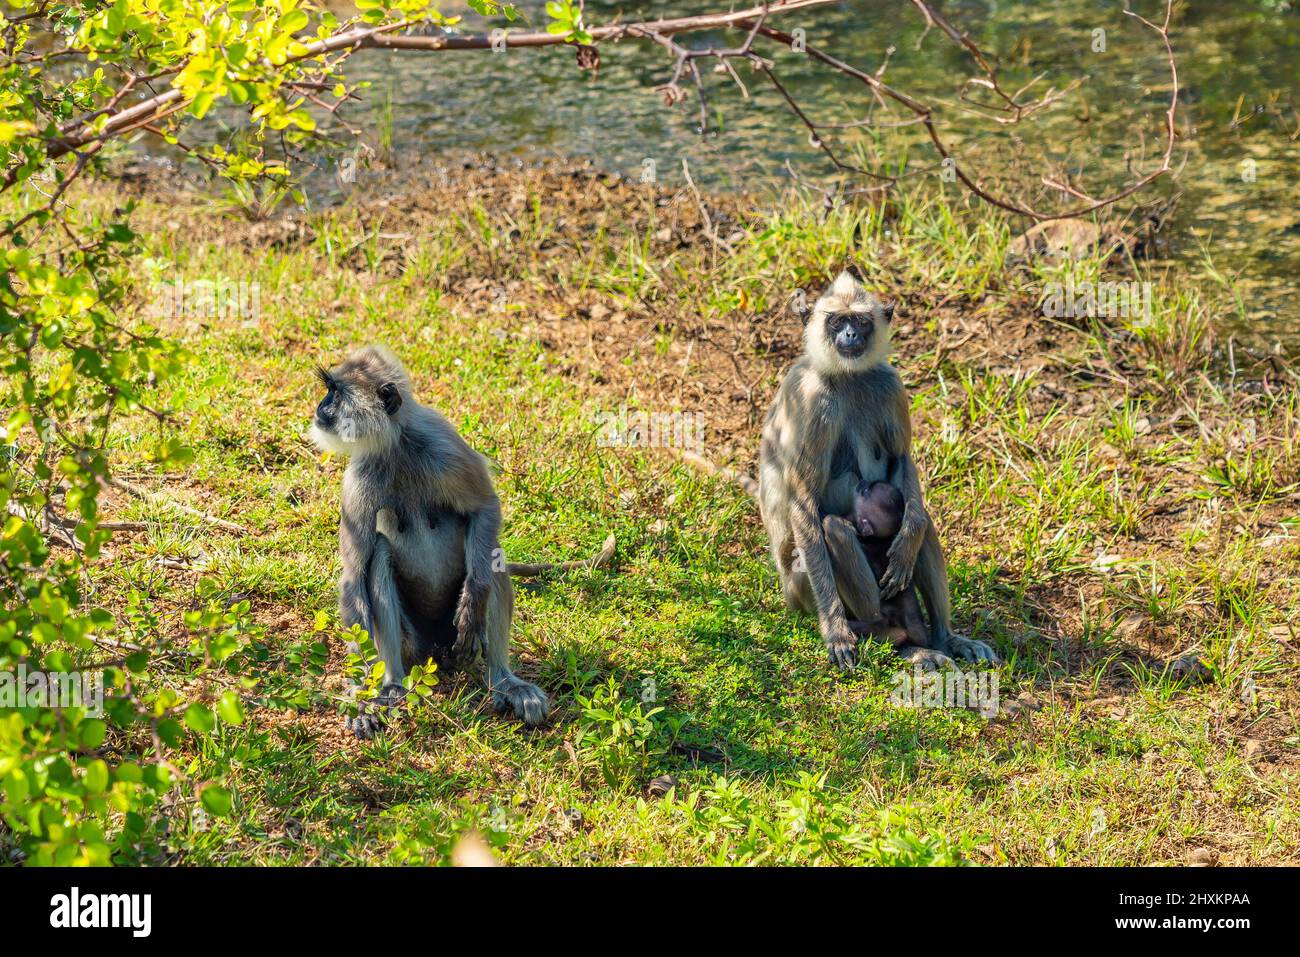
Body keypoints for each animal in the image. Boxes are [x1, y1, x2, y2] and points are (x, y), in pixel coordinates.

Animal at [309, 345, 548, 738]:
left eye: (336, 393)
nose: (320, 408)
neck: (396, 445)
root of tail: (437, 648)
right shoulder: (357, 479)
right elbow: (354, 578)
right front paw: (362, 698)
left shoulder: (442, 441)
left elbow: (485, 507)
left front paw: (473, 602)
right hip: (414, 642)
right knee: (380, 555)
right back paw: (392, 683)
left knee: (490, 558)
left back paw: (503, 681)